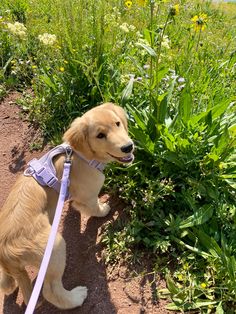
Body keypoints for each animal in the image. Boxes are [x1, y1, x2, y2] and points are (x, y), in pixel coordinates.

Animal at [0, 102, 133, 310]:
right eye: (100, 135)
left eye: (117, 123)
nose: (128, 147)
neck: (79, 155)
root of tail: (5, 252)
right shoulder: (88, 195)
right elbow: (93, 207)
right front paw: (104, 209)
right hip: (54, 247)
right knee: (50, 291)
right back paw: (77, 297)